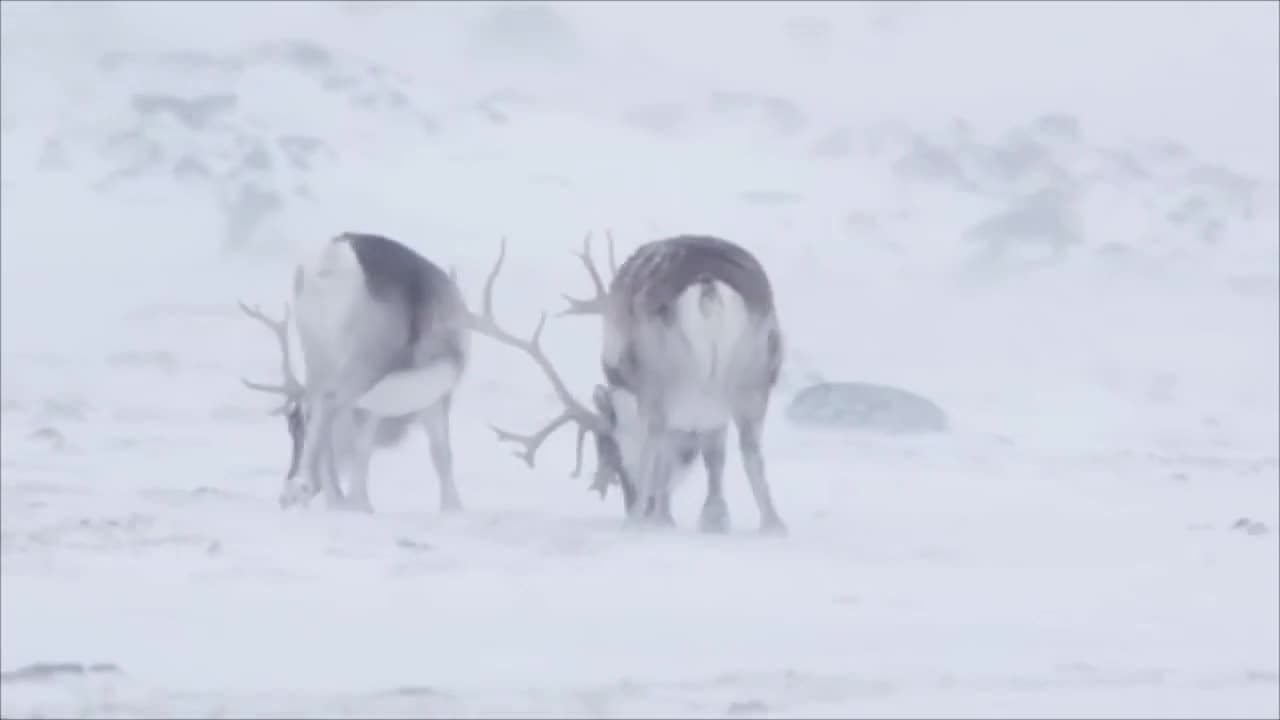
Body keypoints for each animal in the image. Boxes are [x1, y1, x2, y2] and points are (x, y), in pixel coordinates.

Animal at [238, 231, 469, 513]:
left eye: (293, 430)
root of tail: (333, 261)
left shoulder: (372, 405)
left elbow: (363, 445)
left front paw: (358, 502)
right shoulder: (437, 387)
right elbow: (440, 452)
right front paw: (453, 507)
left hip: (319, 357)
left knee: (316, 404)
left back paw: (325, 494)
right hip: (365, 363)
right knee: (329, 402)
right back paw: (304, 488)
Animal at [475, 232, 788, 535]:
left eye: (609, 452)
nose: (629, 499)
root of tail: (708, 287)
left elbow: (667, 457)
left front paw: (665, 517)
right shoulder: (710, 413)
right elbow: (714, 456)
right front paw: (713, 518)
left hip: (661, 382)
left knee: (656, 441)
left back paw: (638, 523)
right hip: (753, 379)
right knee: (750, 449)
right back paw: (772, 524)